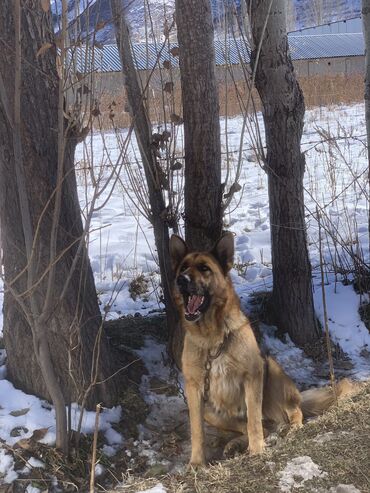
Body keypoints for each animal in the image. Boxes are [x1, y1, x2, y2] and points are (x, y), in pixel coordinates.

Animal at [169, 233, 354, 464]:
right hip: (211, 411)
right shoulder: (194, 389)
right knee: (261, 427)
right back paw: (234, 444)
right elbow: (197, 431)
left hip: (271, 371)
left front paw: (257, 450)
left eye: (204, 268)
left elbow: (254, 421)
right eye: (183, 268)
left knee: (291, 413)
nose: (181, 280)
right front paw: (196, 463)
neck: (212, 339)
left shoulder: (253, 374)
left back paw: (291, 428)